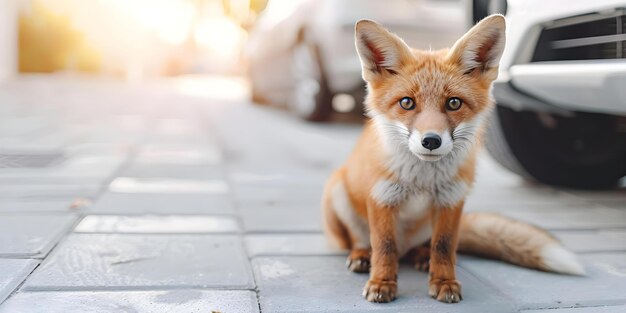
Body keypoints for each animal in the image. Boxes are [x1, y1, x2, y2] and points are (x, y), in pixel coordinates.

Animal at [322, 14, 584, 302]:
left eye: (454, 103)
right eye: (406, 103)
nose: (431, 141)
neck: (422, 180)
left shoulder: (451, 200)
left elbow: (444, 247)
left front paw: (444, 282)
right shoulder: (382, 197)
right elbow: (384, 247)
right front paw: (382, 283)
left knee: (421, 247)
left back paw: (421, 256)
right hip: (337, 193)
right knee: (360, 239)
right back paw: (361, 255)